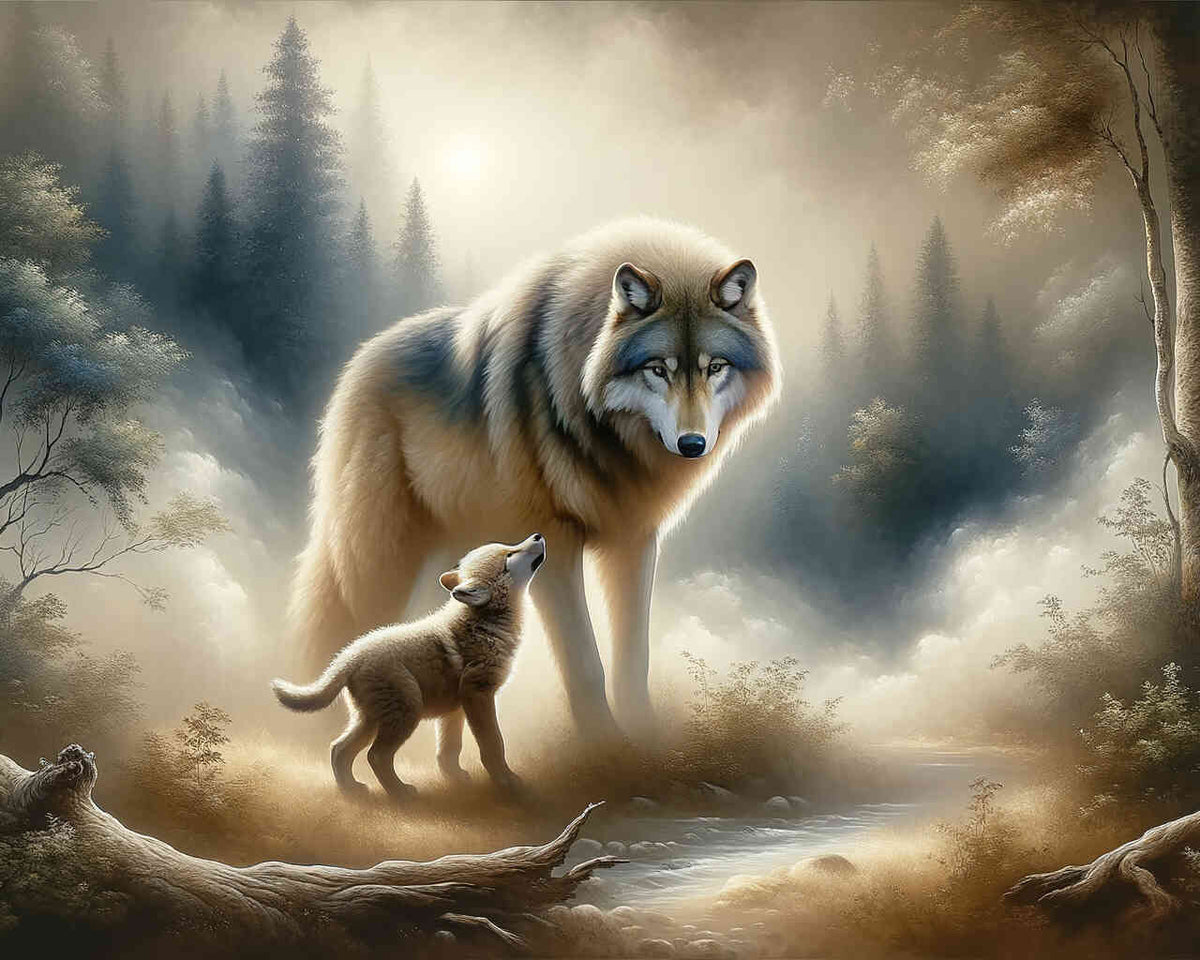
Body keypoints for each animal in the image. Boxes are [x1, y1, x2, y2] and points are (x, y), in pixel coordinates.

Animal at [273, 535, 545, 799]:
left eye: (509, 546)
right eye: (509, 555)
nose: (538, 535)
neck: (485, 623)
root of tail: (349, 656)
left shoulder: (456, 707)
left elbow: (449, 749)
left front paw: (455, 778)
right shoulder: (478, 694)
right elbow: (493, 743)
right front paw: (506, 781)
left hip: (371, 719)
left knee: (338, 749)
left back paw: (351, 790)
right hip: (407, 711)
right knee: (376, 756)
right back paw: (400, 793)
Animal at [289, 218, 781, 738]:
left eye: (715, 367)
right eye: (658, 369)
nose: (692, 444)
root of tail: (358, 362)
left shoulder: (634, 539)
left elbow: (634, 660)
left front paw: (644, 738)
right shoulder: (557, 543)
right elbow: (585, 666)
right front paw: (603, 745)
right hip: (378, 562)